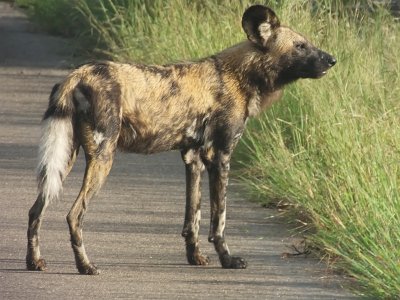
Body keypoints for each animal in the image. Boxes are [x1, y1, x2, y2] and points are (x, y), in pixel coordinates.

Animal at [26, 4, 336, 274]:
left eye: (308, 43)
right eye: (300, 46)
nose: (332, 59)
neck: (241, 76)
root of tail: (77, 75)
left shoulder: (193, 157)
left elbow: (193, 218)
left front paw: (195, 257)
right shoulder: (220, 156)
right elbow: (219, 220)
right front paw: (228, 260)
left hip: (64, 159)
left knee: (35, 210)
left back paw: (34, 262)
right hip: (102, 158)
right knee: (73, 215)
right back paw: (85, 266)